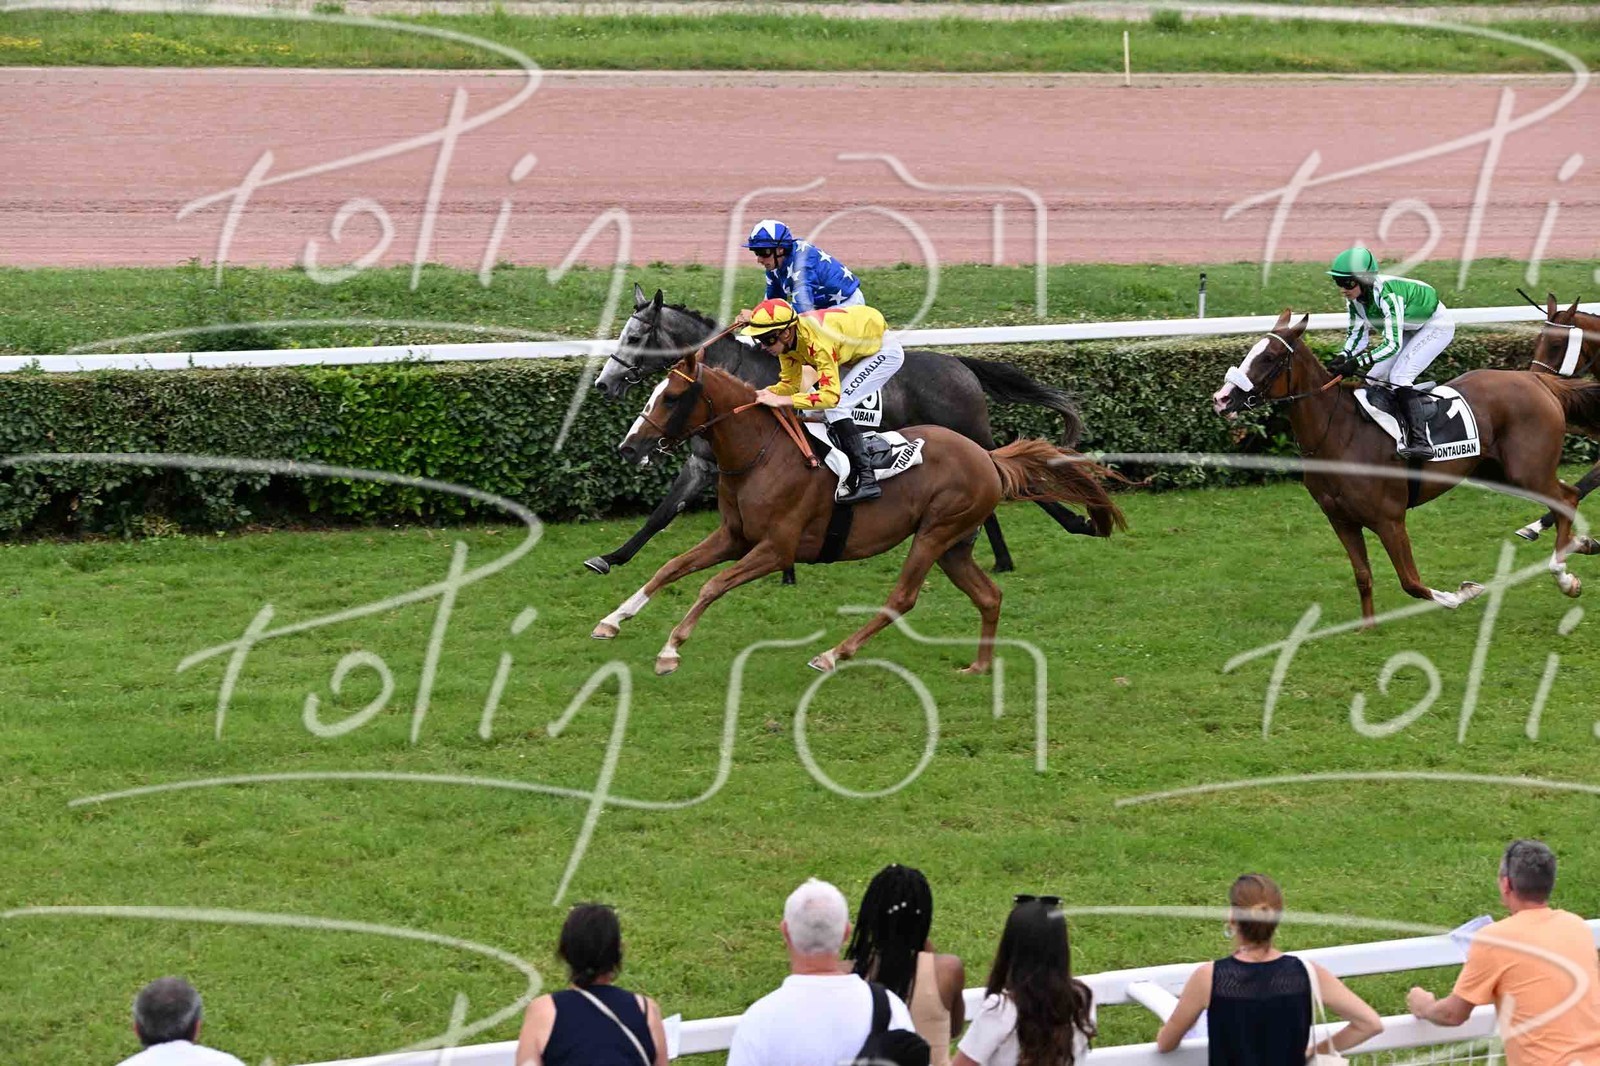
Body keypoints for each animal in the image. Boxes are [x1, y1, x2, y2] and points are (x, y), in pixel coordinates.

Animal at [585, 284, 1097, 577]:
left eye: (634, 337)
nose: (604, 382)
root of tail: (960, 364)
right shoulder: (702, 461)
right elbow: (660, 514)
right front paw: (609, 557)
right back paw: (1003, 558)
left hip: (970, 433)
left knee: (1018, 481)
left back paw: (1076, 525)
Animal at [593, 346, 1125, 675]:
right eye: (653, 393)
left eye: (672, 397)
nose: (628, 447)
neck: (761, 453)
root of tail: (987, 458)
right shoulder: (735, 536)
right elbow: (670, 567)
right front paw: (612, 619)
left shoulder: (775, 547)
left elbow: (711, 585)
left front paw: (669, 650)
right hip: (954, 545)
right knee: (989, 596)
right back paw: (978, 664)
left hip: (934, 533)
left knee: (902, 599)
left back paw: (833, 654)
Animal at [1512, 293, 1600, 547]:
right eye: (1537, 341)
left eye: (1556, 345)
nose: (1532, 381)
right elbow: (1584, 484)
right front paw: (1535, 526)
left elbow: (1585, 484)